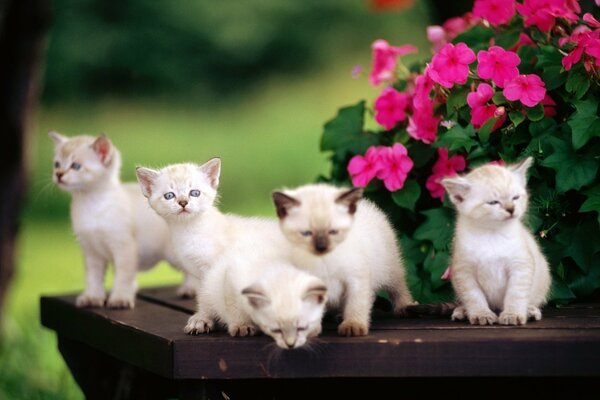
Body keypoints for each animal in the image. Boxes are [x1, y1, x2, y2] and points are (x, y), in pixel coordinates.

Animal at [50, 131, 195, 310]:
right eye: (57, 164)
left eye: (75, 166)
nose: (58, 174)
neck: (90, 204)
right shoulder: (91, 252)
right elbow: (93, 278)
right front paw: (92, 297)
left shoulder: (123, 247)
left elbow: (123, 276)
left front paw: (120, 299)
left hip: (174, 256)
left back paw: (190, 289)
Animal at [270, 183, 412, 336]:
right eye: (306, 233)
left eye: (333, 231)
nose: (321, 247)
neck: (324, 261)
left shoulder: (356, 279)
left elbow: (356, 304)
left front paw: (353, 324)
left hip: (390, 266)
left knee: (398, 286)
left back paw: (405, 306)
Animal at [440, 156, 552, 324]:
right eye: (493, 202)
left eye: (515, 198)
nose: (511, 209)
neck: (492, 234)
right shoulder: (464, 271)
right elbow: (474, 297)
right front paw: (481, 315)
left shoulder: (520, 267)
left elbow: (515, 295)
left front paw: (512, 315)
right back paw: (463, 311)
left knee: (532, 300)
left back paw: (530, 311)